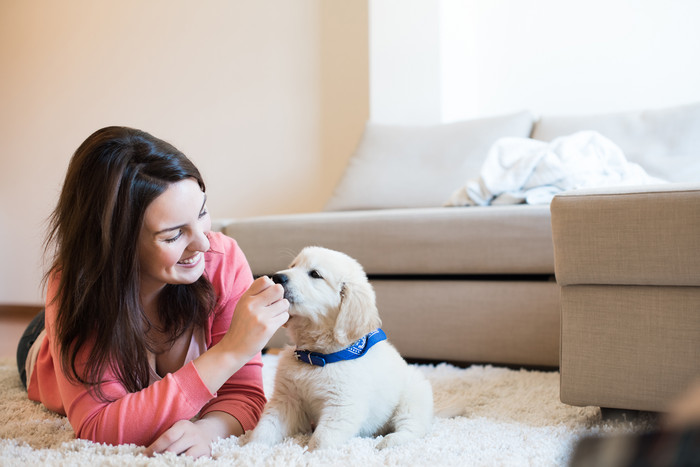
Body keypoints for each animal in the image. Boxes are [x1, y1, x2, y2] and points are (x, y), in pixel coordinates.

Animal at [246, 247, 432, 452]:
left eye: (315, 274)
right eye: (293, 266)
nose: (277, 277)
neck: (317, 357)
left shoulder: (342, 407)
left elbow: (321, 440)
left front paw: (311, 455)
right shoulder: (287, 400)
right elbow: (266, 428)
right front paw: (251, 449)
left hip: (413, 398)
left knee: (413, 427)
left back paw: (389, 441)